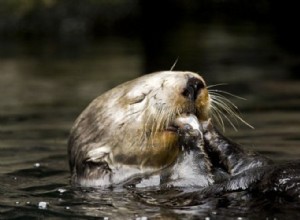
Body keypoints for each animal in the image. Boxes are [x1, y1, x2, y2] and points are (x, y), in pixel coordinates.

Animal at [68, 71, 300, 199]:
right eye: (139, 98)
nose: (193, 83)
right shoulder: (165, 184)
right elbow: (194, 177)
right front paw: (190, 131)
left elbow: (254, 160)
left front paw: (209, 129)